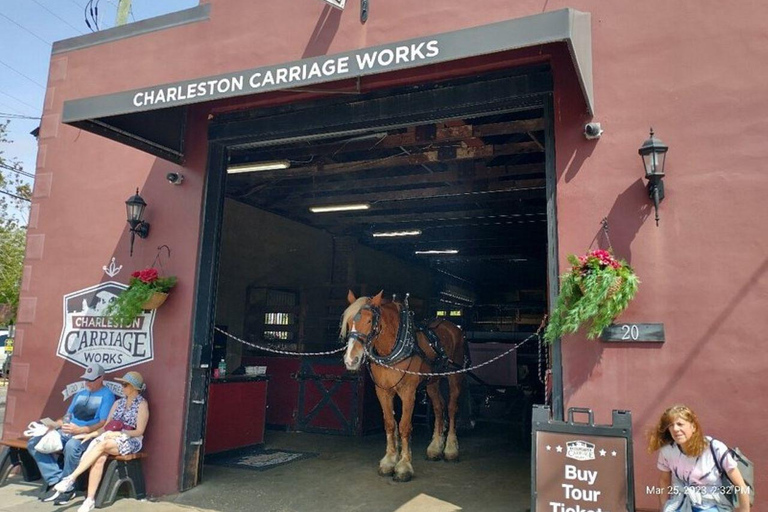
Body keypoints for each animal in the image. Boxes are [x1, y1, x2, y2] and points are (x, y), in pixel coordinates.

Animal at [340, 290, 462, 482]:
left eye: (369, 320)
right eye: (349, 321)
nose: (351, 360)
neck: (391, 349)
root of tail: (452, 326)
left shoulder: (408, 392)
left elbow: (404, 426)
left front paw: (404, 466)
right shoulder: (382, 391)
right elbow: (390, 424)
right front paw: (389, 461)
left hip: (454, 376)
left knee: (451, 407)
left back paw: (450, 449)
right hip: (432, 382)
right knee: (438, 407)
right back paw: (435, 447)